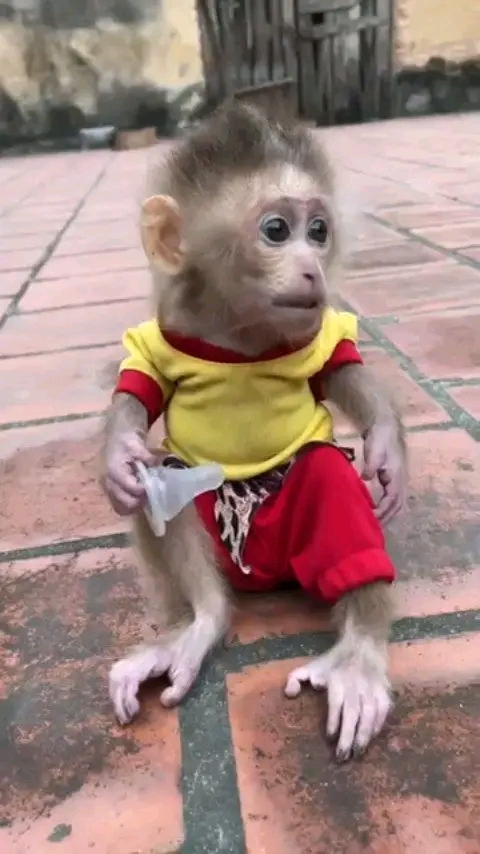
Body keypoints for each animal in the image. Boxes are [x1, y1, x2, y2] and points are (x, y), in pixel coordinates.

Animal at [101, 100, 407, 762]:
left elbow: (341, 367)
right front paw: (117, 456)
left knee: (324, 471)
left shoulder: (314, 330)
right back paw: (198, 624)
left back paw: (357, 657)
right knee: (159, 487)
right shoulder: (168, 330)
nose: (314, 269)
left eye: (319, 231)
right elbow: (138, 394)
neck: (239, 333)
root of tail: (261, 574)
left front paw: (388, 451)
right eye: (276, 231)